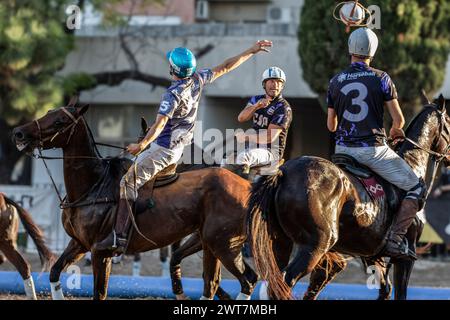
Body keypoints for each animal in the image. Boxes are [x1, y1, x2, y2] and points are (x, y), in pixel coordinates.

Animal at [12, 100, 258, 300]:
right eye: (48, 112)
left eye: (59, 121)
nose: (18, 133)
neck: (92, 185)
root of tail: (249, 186)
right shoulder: (80, 244)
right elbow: (54, 272)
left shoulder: (100, 252)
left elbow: (99, 293)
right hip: (211, 243)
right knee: (215, 282)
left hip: (224, 244)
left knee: (247, 280)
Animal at [248, 95, 448, 300]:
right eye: (449, 122)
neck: (413, 163)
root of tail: (283, 172)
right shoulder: (406, 255)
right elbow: (400, 292)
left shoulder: (370, 252)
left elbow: (385, 289)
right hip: (316, 245)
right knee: (286, 281)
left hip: (280, 242)